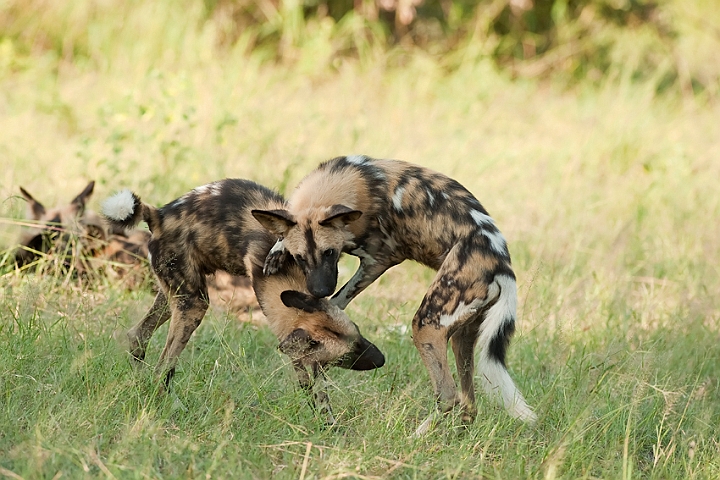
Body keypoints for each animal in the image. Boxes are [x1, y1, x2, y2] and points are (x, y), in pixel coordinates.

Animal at [101, 180, 386, 424]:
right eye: (346, 357)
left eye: (358, 335)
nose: (382, 359)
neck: (289, 275)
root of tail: (159, 215)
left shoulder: (301, 352)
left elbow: (317, 393)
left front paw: (329, 426)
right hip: (193, 305)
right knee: (163, 368)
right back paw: (171, 405)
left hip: (177, 296)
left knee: (138, 336)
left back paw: (142, 387)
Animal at [252, 156, 536, 434]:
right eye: (300, 258)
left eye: (330, 253)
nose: (319, 291)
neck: (356, 180)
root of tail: (502, 269)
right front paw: (277, 251)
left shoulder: (379, 260)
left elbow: (340, 299)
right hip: (463, 336)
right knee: (469, 404)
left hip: (426, 325)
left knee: (448, 396)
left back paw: (416, 438)